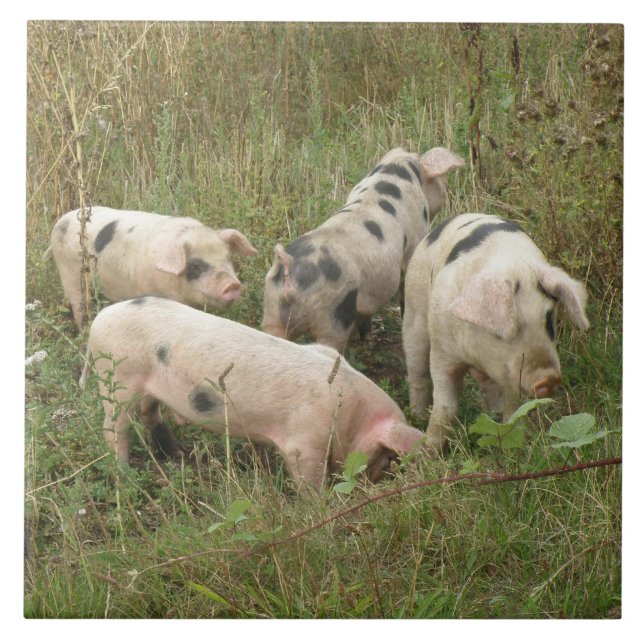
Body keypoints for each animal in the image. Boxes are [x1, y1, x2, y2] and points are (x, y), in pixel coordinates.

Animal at [79, 296, 425, 491]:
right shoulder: (304, 441)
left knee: (150, 413)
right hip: (118, 380)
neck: (350, 414)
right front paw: (319, 505)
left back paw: (179, 454)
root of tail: (99, 320)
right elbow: (308, 480)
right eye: (386, 456)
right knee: (114, 429)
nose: (371, 485)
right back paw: (125, 476)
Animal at [262, 147, 464, 353]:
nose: (446, 188)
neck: (395, 171)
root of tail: (289, 266)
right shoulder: (415, 238)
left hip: (272, 309)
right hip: (332, 313)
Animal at [402, 213, 590, 453]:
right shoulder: (442, 352)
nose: (548, 378)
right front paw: (427, 452)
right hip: (414, 309)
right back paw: (416, 415)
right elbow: (445, 405)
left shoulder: (509, 373)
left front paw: (513, 446)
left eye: (549, 320)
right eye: (505, 330)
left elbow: (513, 409)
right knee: (417, 371)